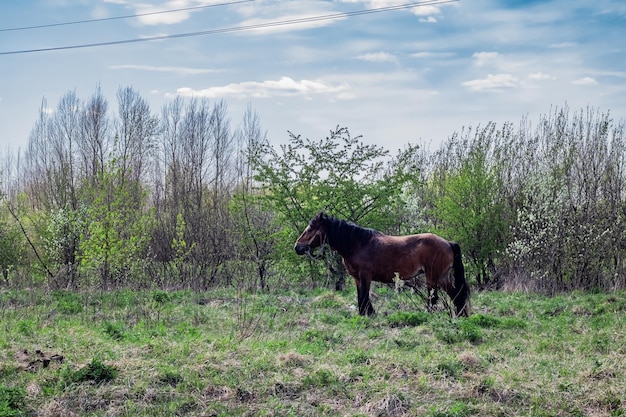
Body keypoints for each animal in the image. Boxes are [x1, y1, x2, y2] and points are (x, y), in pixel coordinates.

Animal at [292, 211, 468, 316]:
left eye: (310, 229)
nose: (297, 247)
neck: (358, 243)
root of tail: (448, 243)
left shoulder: (365, 276)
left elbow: (364, 296)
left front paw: (369, 314)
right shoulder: (357, 278)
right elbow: (360, 296)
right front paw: (365, 314)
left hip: (433, 278)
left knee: (434, 298)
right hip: (442, 277)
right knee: (457, 296)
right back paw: (460, 315)